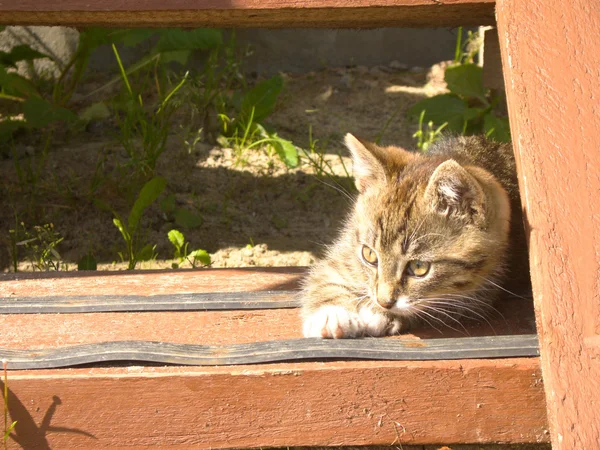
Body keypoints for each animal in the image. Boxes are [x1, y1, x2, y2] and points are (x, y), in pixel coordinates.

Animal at [302, 134, 528, 338]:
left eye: (419, 267)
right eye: (369, 255)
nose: (383, 302)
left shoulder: (483, 289)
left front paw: (381, 314)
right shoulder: (346, 248)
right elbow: (326, 275)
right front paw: (331, 314)